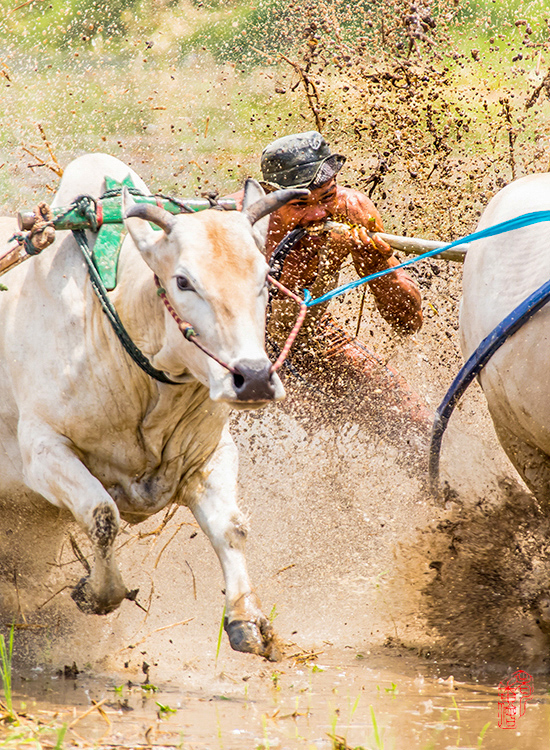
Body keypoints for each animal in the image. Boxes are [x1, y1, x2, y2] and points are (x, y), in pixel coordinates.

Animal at [0, 153, 306, 656]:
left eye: (264, 277)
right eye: (183, 281)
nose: (255, 378)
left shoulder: (210, 453)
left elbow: (232, 526)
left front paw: (246, 618)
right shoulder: (41, 452)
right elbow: (103, 516)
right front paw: (96, 593)